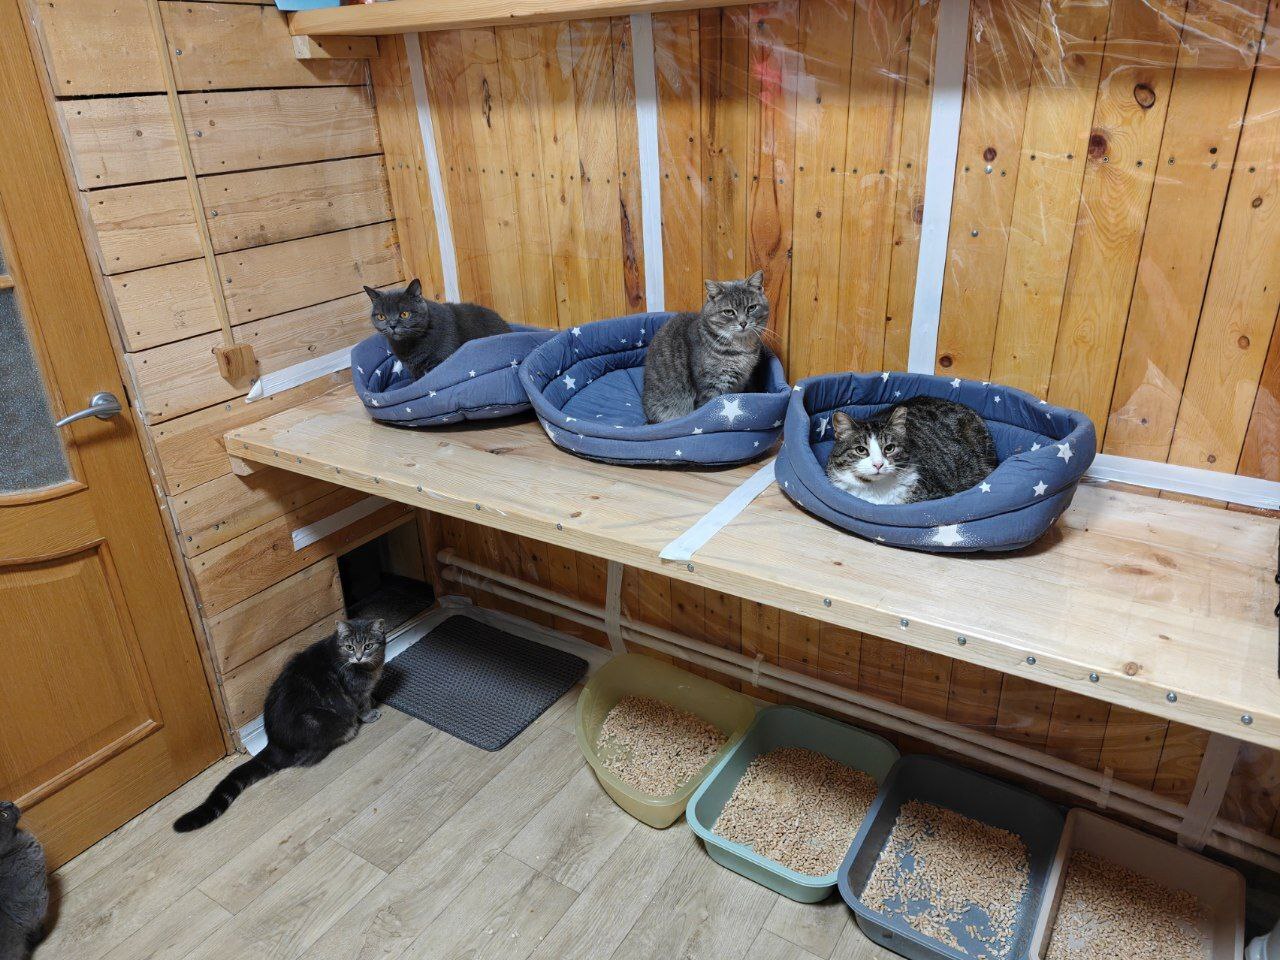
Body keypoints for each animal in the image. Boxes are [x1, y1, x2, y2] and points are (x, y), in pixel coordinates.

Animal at [173, 619, 387, 833]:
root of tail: (275, 744)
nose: (358, 657)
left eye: (368, 646)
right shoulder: (355, 693)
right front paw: (370, 713)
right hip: (319, 720)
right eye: (350, 647)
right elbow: (362, 705)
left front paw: (374, 700)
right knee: (309, 757)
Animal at [365, 279, 509, 379]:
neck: (409, 346)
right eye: (381, 316)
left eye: (404, 314)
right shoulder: (415, 370)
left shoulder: (441, 361)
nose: (392, 325)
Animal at [643, 270, 768, 423]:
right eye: (729, 312)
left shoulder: (740, 383)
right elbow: (708, 411)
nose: (743, 323)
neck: (742, 347)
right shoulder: (711, 386)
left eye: (751, 308)